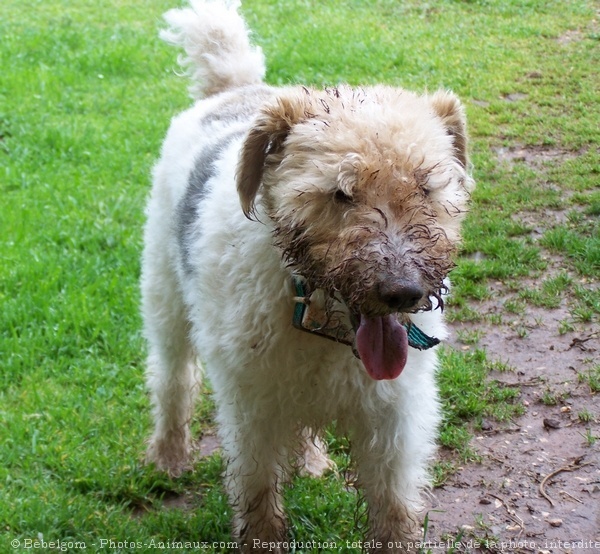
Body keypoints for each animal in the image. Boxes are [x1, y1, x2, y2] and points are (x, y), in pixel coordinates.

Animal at [143, 1, 476, 548]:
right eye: (340, 192)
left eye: (427, 187)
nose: (403, 293)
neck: (315, 311)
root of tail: (231, 88)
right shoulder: (252, 408)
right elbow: (259, 499)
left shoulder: (395, 415)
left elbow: (394, 509)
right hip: (165, 300)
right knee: (173, 382)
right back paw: (168, 457)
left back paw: (312, 463)